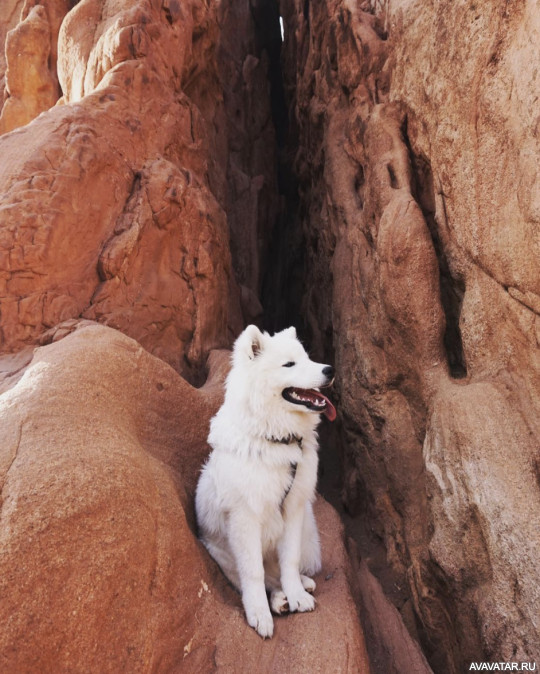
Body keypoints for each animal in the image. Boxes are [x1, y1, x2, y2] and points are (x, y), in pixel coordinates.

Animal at [196, 324, 336, 636]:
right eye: (289, 364)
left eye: (308, 358)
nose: (330, 369)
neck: (277, 439)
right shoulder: (244, 518)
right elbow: (253, 574)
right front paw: (260, 613)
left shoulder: (294, 509)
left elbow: (289, 561)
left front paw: (296, 595)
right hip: (221, 553)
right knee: (259, 577)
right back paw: (277, 600)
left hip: (308, 531)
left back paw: (300, 587)